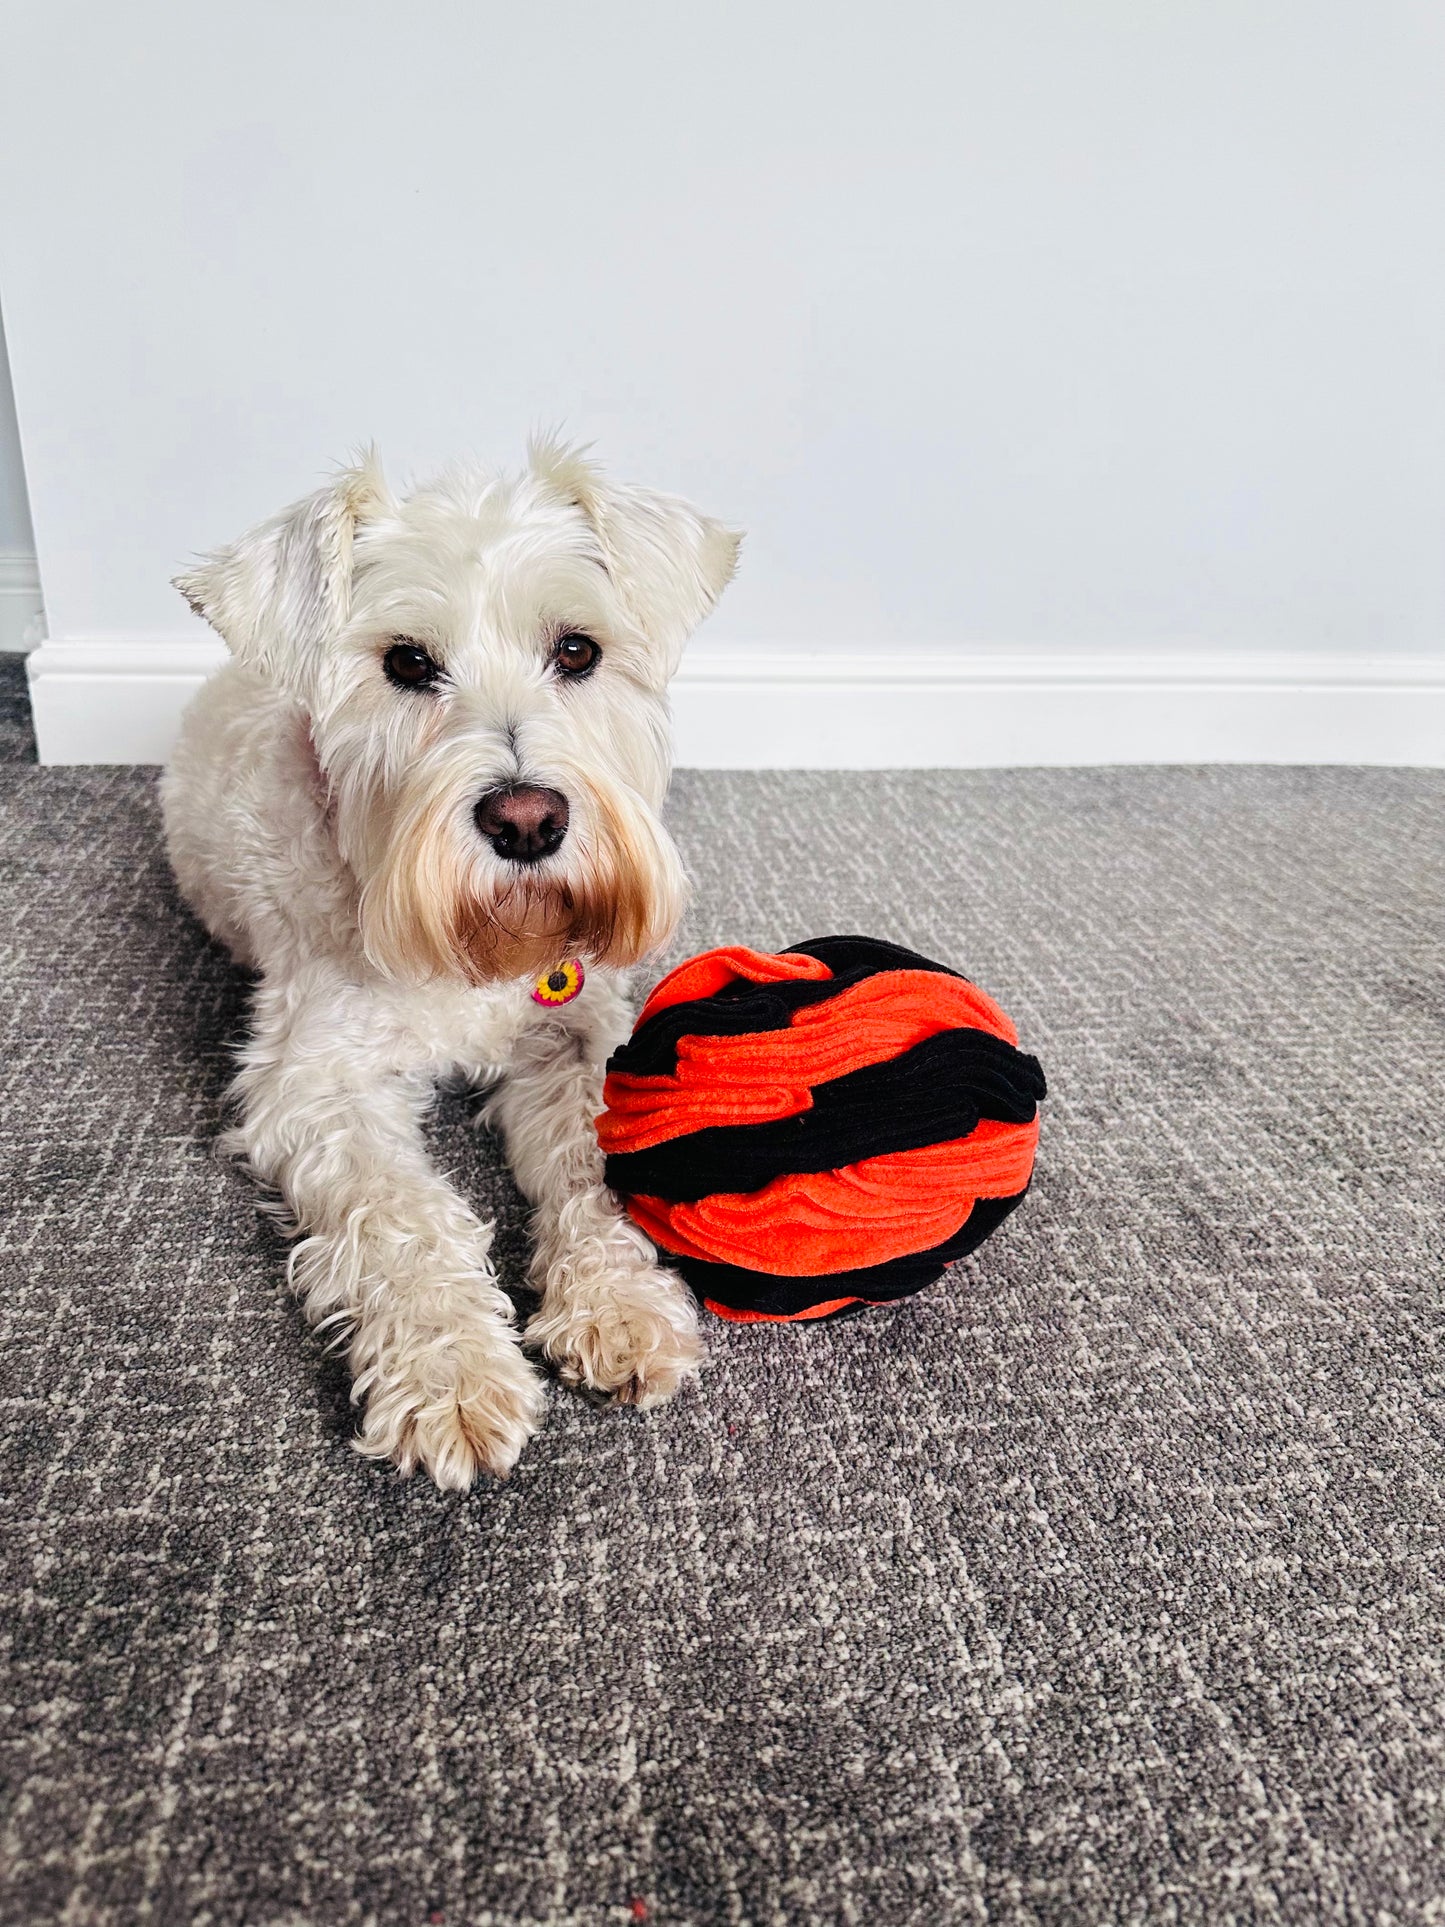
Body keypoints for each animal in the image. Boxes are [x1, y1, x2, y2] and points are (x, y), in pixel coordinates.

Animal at [163, 441, 739, 1487]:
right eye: (406, 662)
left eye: (577, 650)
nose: (527, 820)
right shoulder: (314, 1081)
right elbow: (405, 1217)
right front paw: (453, 1376)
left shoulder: (576, 1034)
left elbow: (594, 1165)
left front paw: (619, 1305)